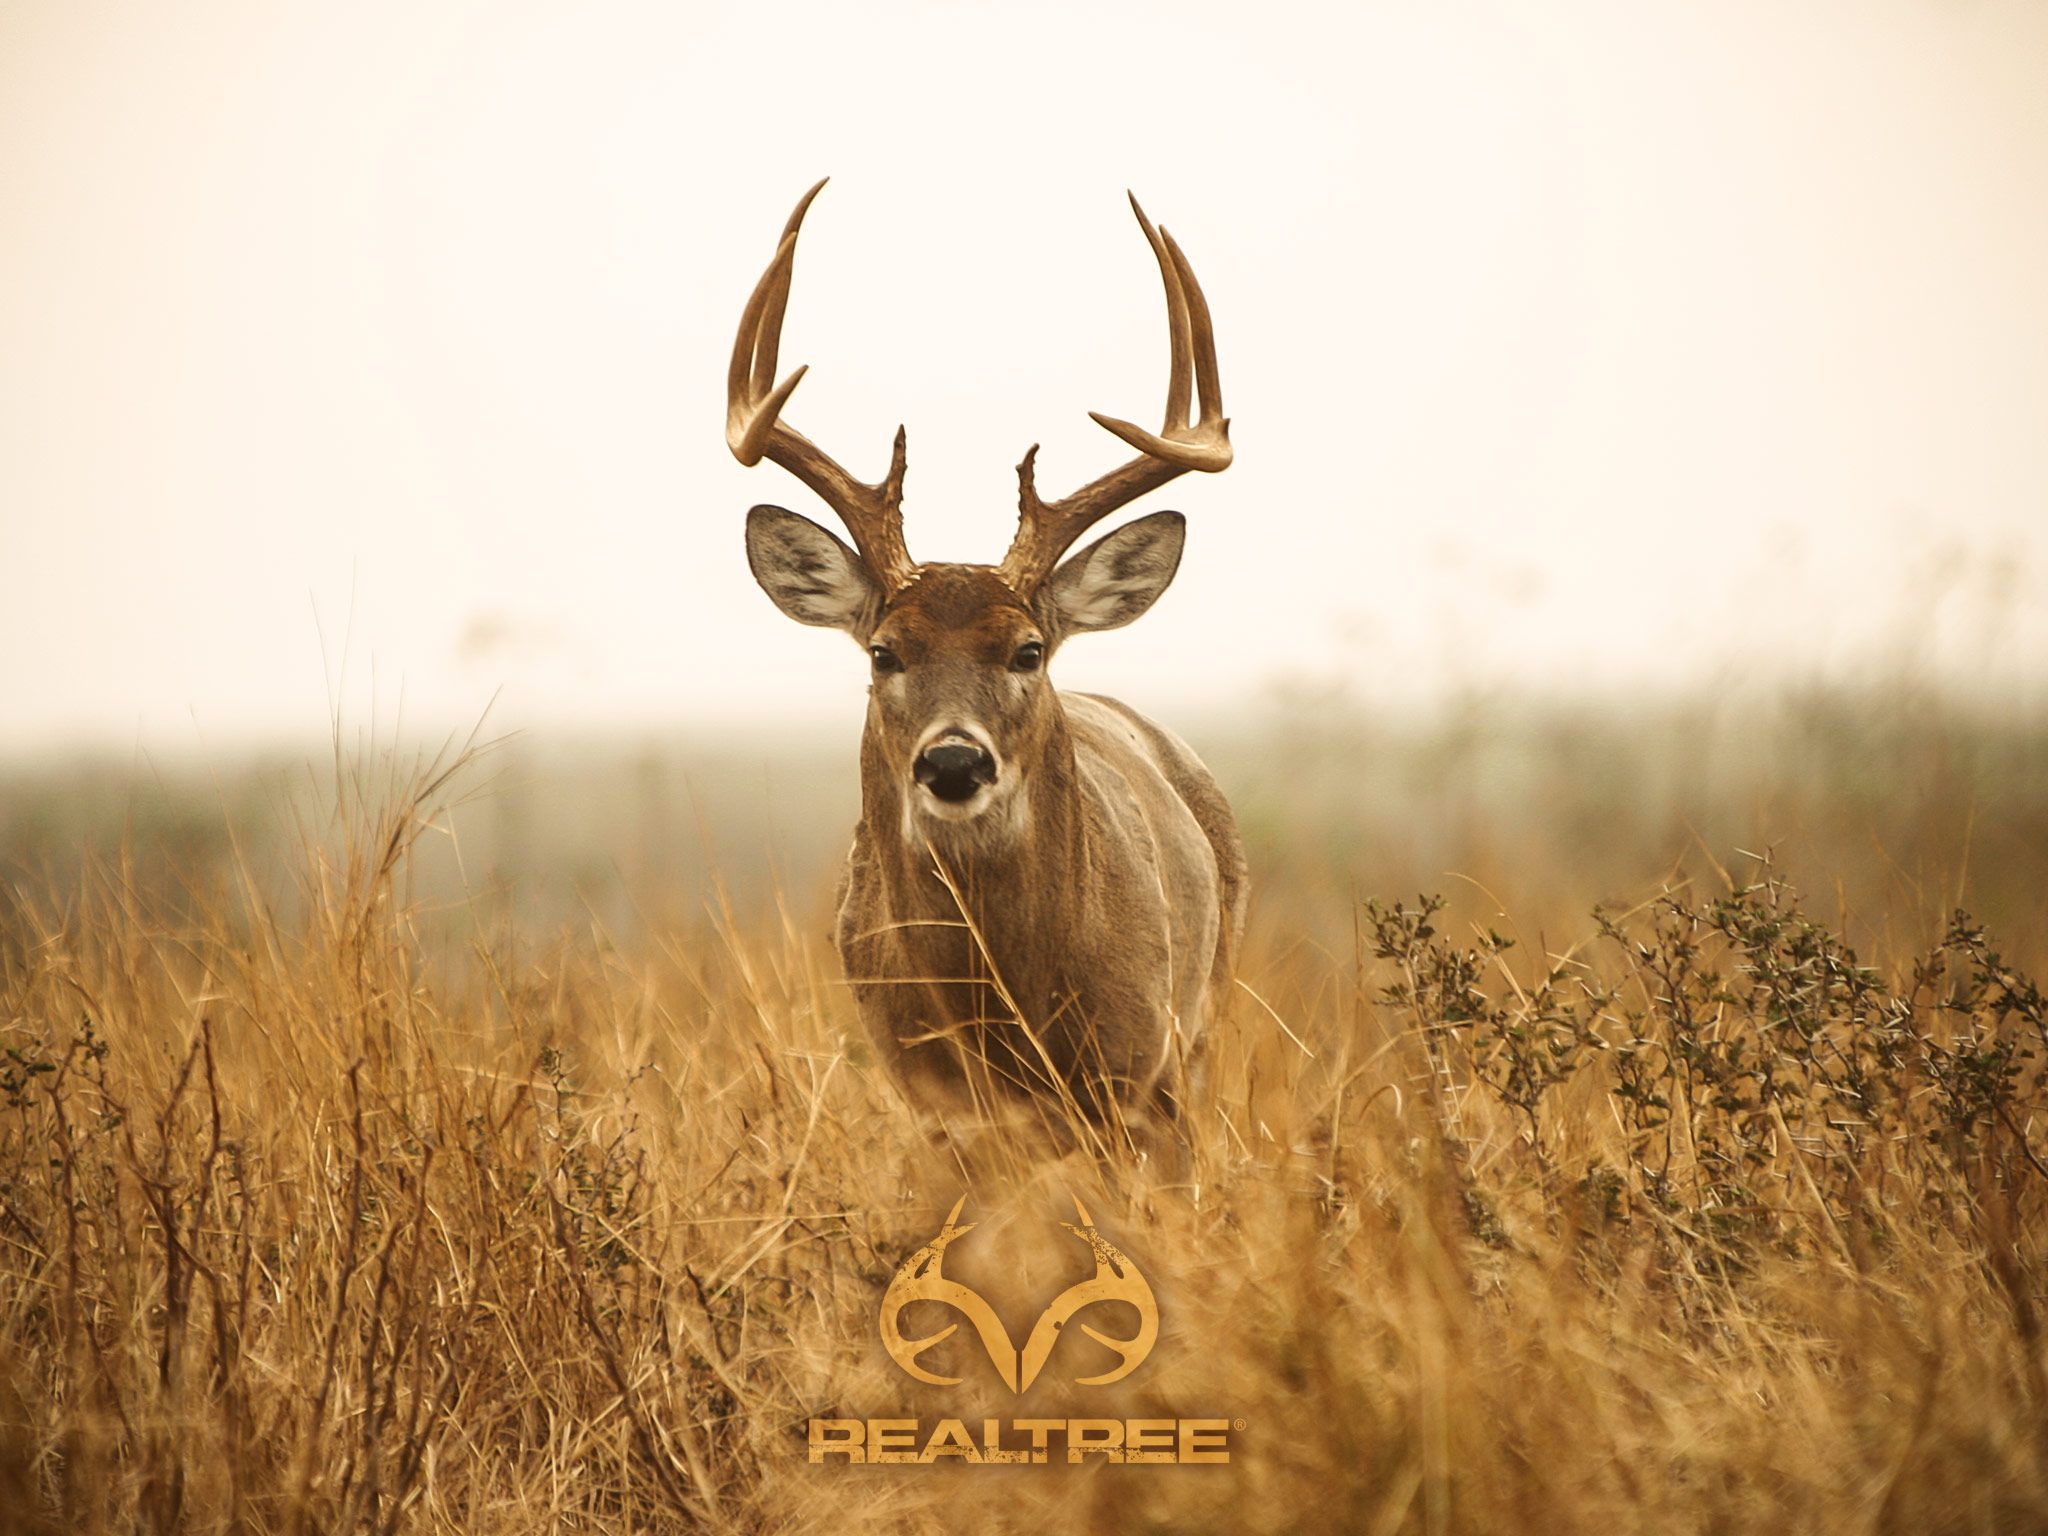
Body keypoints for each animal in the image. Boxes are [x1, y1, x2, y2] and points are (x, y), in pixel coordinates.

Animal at [727, 181, 1244, 1147]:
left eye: (1026, 649)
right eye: (885, 651)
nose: (954, 761)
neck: (1011, 1014)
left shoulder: (1143, 1079)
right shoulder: (936, 1107)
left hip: (1204, 1018)